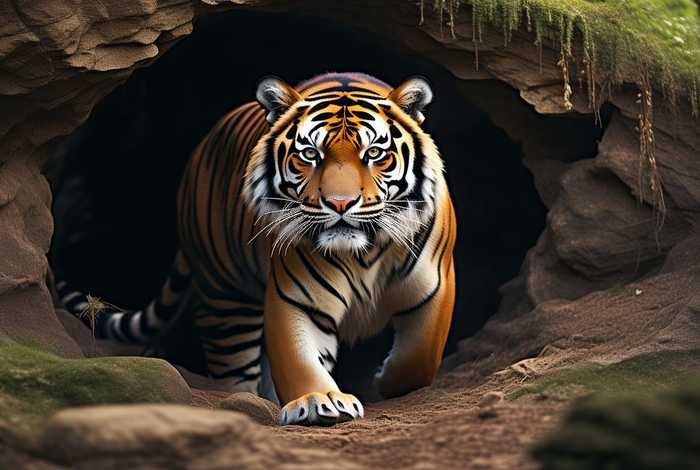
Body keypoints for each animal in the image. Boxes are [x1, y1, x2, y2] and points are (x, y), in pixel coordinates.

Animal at [57, 72, 457, 426]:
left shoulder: (434, 286)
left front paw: (382, 379)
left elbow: (419, 359)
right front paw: (318, 400)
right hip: (226, 299)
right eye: (309, 154)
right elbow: (298, 358)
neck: (363, 252)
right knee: (234, 371)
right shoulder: (297, 297)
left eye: (374, 152)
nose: (339, 204)